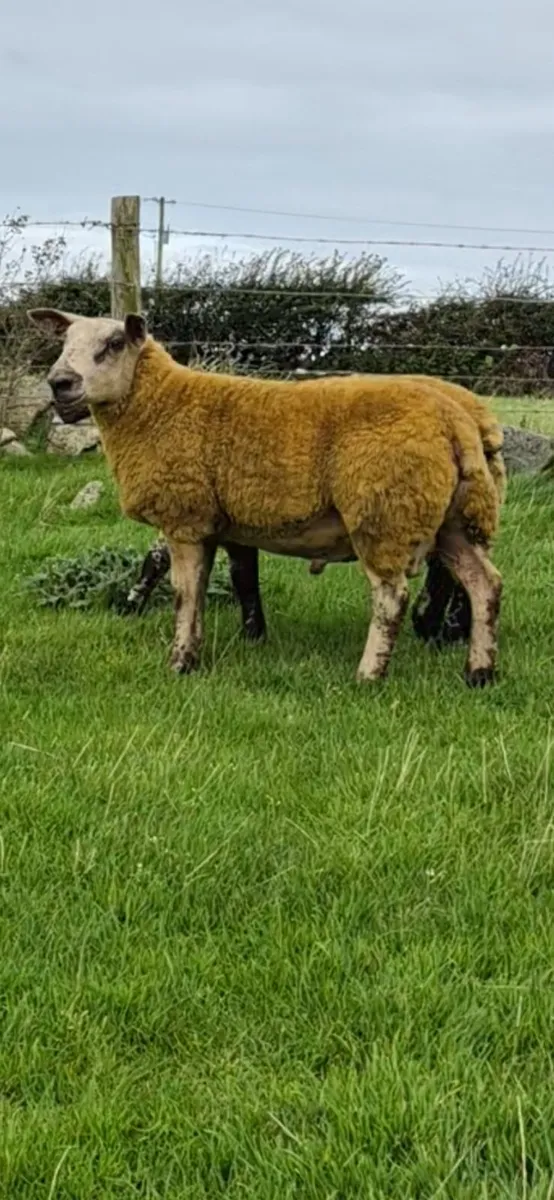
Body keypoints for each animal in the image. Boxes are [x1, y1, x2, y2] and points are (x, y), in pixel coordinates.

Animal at [124, 376, 506, 649]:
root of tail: (479, 420)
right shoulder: (235, 522)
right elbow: (242, 574)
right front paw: (254, 633)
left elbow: (161, 559)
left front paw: (132, 604)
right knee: (461, 569)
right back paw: (451, 630)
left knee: (447, 572)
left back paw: (435, 627)